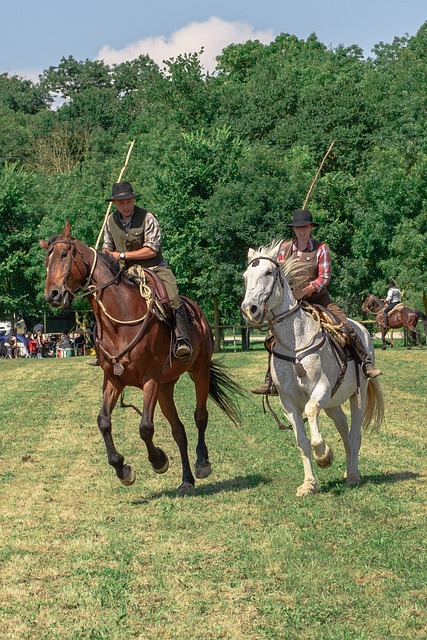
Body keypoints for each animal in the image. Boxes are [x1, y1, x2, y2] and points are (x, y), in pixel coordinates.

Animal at [41, 221, 246, 496]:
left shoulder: (150, 379)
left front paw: (158, 460)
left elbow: (145, 427)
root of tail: (199, 314)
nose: (52, 294)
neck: (120, 320)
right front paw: (122, 469)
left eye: (64, 255)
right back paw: (187, 480)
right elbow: (103, 421)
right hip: (166, 387)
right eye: (46, 260)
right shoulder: (114, 380)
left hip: (199, 371)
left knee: (200, 416)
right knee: (178, 430)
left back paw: (202, 464)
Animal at [242, 242, 386, 498]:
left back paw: (354, 476)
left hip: (357, 396)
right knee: (344, 431)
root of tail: (363, 330)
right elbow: (302, 442)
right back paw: (348, 470)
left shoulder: (321, 389)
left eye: (268, 272)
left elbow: (310, 413)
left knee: (354, 435)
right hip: (333, 404)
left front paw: (324, 455)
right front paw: (309, 484)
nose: (250, 309)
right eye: (245, 277)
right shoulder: (288, 402)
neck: (296, 343)